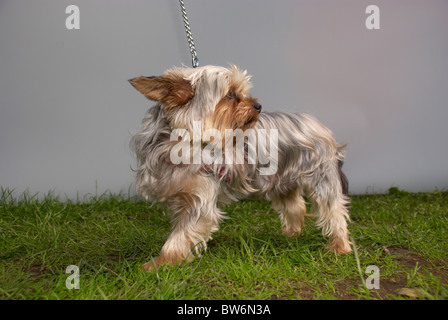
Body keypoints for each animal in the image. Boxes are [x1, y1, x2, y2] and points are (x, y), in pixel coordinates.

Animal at [128, 64, 352, 270]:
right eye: (230, 94)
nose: (258, 105)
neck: (179, 144)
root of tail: (320, 126)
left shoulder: (199, 199)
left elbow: (181, 234)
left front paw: (161, 262)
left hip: (320, 176)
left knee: (334, 210)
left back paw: (340, 246)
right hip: (282, 178)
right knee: (295, 204)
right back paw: (291, 233)